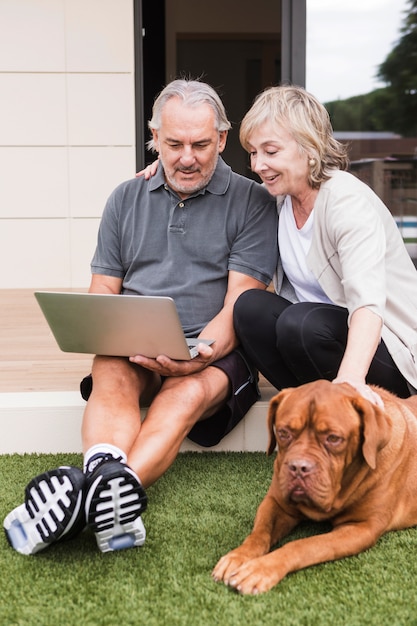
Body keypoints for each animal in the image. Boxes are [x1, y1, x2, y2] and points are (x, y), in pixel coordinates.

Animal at [213, 378, 416, 592]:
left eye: (333, 438)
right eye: (283, 433)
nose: (298, 468)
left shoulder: (361, 526)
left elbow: (304, 545)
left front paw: (261, 568)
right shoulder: (277, 503)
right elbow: (259, 533)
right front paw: (237, 556)